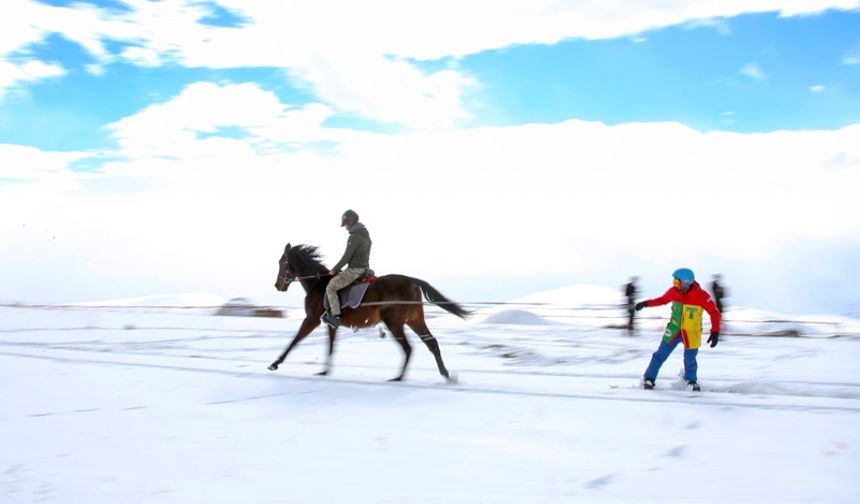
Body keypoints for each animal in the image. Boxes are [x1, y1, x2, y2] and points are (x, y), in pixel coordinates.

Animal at [268, 244, 470, 382]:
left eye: (281, 262)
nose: (277, 285)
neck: (318, 283)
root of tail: (411, 281)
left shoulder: (311, 319)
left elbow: (295, 340)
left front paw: (275, 363)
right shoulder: (332, 324)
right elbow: (331, 347)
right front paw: (325, 371)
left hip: (394, 323)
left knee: (408, 348)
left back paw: (399, 377)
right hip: (414, 320)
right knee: (431, 343)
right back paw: (445, 374)